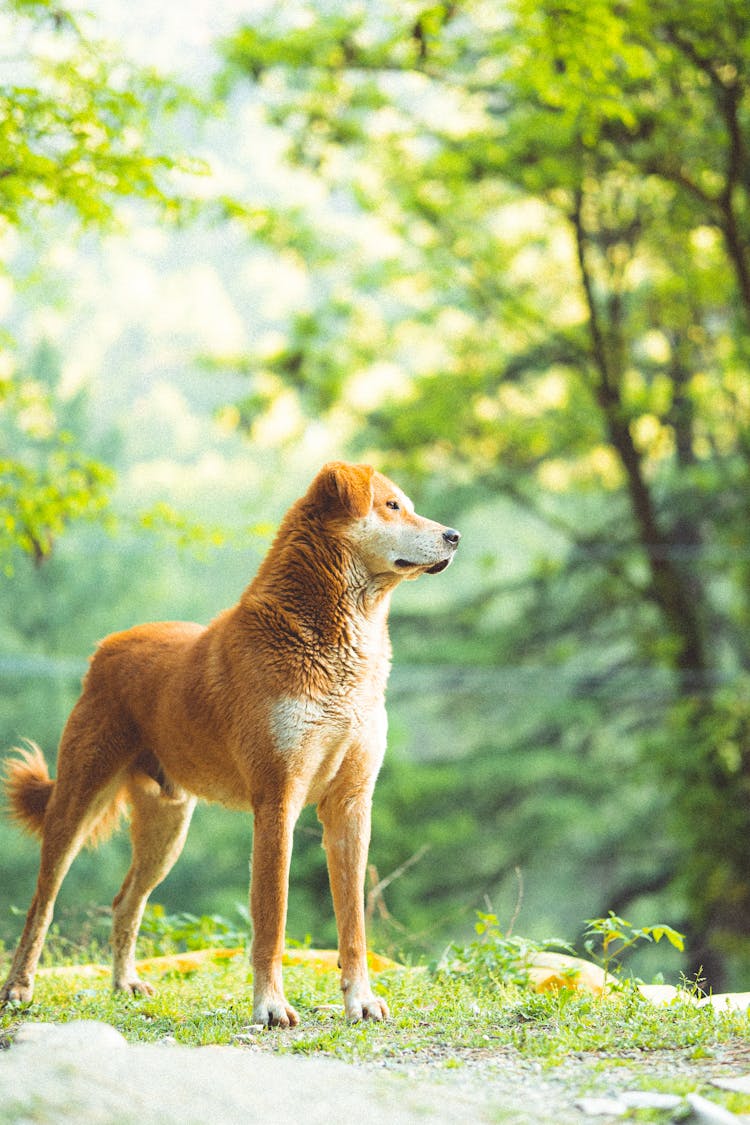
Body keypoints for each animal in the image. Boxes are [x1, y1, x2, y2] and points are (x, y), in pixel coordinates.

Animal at [0, 461, 461, 1026]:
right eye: (392, 506)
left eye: (407, 505)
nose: (454, 536)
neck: (337, 643)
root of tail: (106, 648)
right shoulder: (277, 803)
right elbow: (272, 919)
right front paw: (270, 1006)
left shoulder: (351, 806)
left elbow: (353, 924)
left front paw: (361, 1001)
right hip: (76, 806)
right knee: (40, 905)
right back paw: (19, 988)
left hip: (167, 830)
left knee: (125, 901)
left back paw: (125, 983)